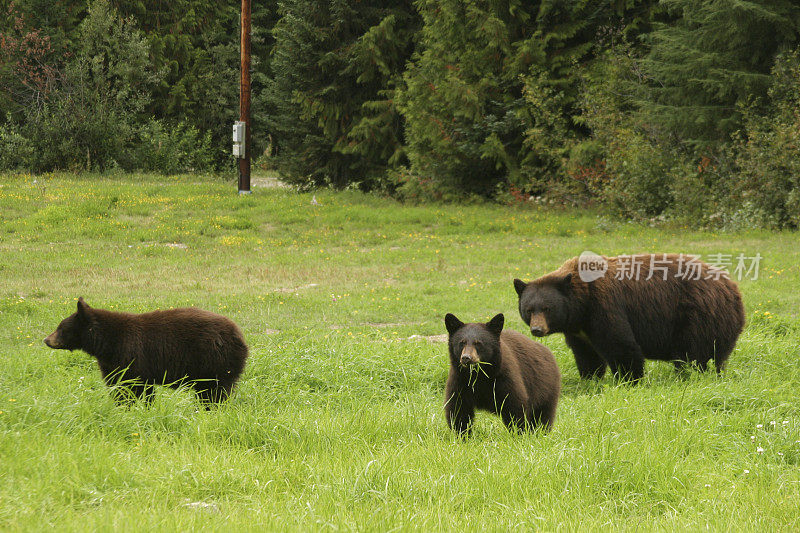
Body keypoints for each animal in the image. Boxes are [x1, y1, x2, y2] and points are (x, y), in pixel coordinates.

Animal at [43, 298, 248, 406]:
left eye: (61, 328)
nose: (46, 339)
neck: (107, 342)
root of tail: (239, 335)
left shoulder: (130, 355)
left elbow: (130, 386)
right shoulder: (114, 362)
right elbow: (122, 384)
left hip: (212, 361)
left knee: (213, 392)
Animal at [516, 252, 748, 380]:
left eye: (547, 308)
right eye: (529, 309)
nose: (537, 329)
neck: (581, 306)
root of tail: (733, 289)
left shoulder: (604, 307)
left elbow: (621, 345)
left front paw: (629, 378)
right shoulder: (578, 330)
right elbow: (586, 354)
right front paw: (590, 378)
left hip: (698, 316)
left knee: (693, 353)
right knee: (716, 355)